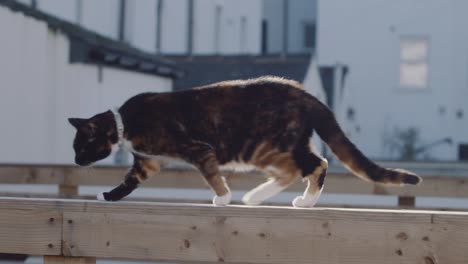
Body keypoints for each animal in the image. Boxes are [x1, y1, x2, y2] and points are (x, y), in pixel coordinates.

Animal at [67, 75, 422, 207]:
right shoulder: (148, 161)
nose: (75, 161)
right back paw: (262, 196)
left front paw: (222, 197)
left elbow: (211, 174)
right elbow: (130, 181)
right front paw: (109, 195)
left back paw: (292, 200)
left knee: (311, 165)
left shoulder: (197, 149)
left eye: (81, 146)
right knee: (305, 165)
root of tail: (304, 93)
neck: (124, 124)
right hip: (285, 143)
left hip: (264, 146)